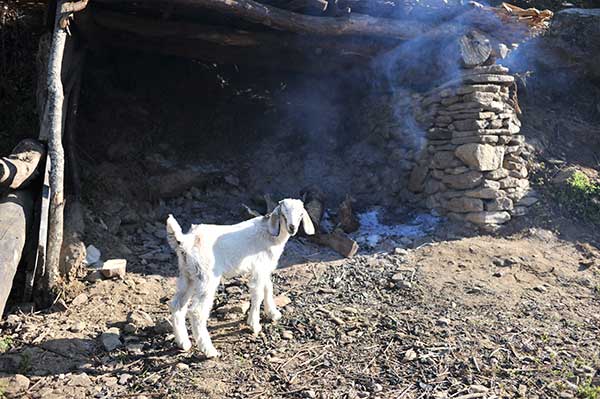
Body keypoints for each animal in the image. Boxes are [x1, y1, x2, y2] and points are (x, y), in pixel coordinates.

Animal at [164, 198, 314, 358]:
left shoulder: (264, 268)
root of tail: (186, 242)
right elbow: (258, 294)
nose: (292, 228)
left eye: (300, 214)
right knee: (197, 312)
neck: (269, 234)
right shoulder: (259, 268)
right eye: (284, 214)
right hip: (206, 278)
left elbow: (268, 288)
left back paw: (183, 343)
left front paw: (273, 313)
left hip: (187, 275)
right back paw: (209, 350)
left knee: (177, 305)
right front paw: (254, 325)